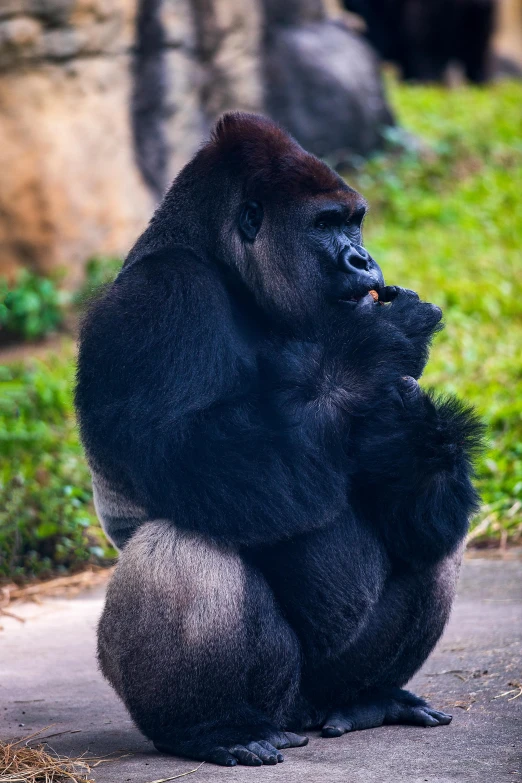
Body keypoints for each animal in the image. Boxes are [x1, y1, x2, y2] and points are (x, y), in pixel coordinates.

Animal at [75, 113, 482, 768]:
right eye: (325, 224)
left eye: (354, 220)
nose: (363, 260)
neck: (223, 264)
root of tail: (303, 712)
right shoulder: (163, 298)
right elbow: (190, 454)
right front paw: (374, 347)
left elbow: (418, 511)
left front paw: (424, 444)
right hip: (275, 697)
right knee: (184, 546)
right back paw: (213, 727)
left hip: (323, 688)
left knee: (437, 541)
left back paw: (366, 696)